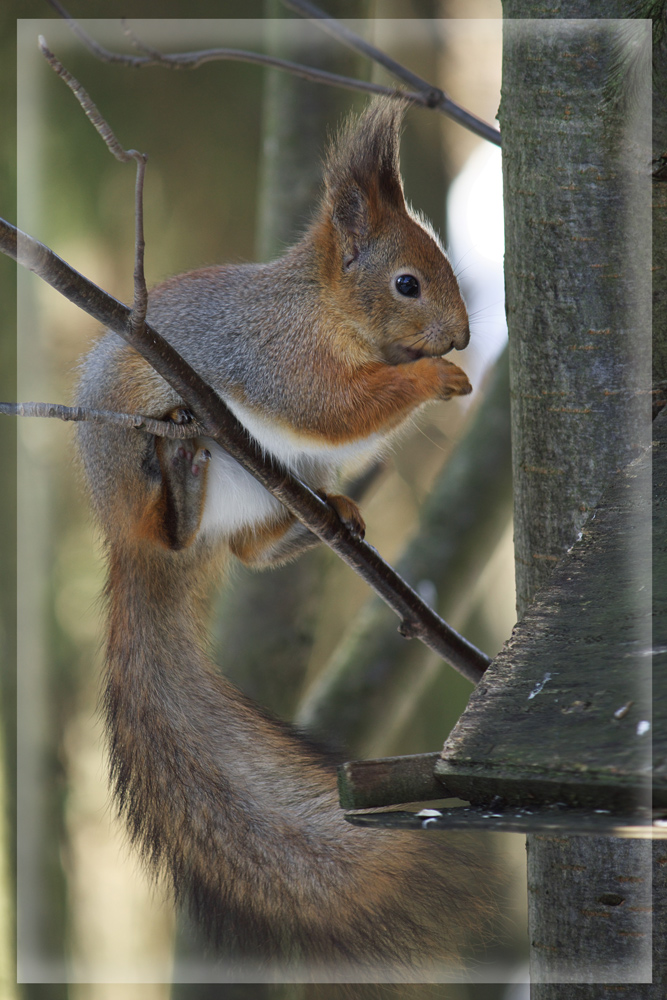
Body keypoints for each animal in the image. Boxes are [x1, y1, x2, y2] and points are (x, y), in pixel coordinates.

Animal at [75, 99, 478, 976]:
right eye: (406, 281)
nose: (464, 336)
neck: (323, 309)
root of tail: (123, 538)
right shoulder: (279, 359)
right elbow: (333, 405)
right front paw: (431, 379)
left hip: (271, 488)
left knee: (244, 549)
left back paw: (327, 515)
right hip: (132, 459)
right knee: (172, 531)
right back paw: (180, 490)